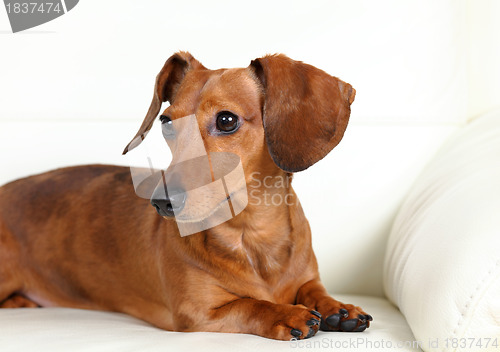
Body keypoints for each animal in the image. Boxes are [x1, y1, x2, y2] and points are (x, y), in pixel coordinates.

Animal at [0, 52, 372, 340]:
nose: (162, 203)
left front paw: (339, 307)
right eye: (166, 122)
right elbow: (249, 304)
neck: (252, 234)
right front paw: (285, 313)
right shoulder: (198, 313)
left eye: (226, 120)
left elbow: (313, 289)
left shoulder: (307, 278)